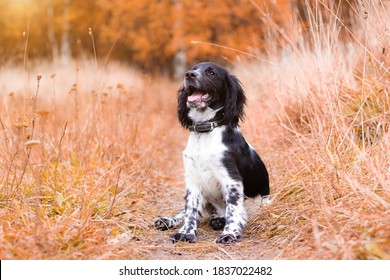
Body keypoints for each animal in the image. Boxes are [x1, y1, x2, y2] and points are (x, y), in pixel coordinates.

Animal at [154, 62, 270, 244]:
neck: (205, 132)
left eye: (211, 73)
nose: (189, 75)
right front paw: (186, 232)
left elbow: (233, 209)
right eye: (194, 68)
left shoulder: (231, 179)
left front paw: (230, 233)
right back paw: (168, 220)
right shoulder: (192, 180)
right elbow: (190, 210)